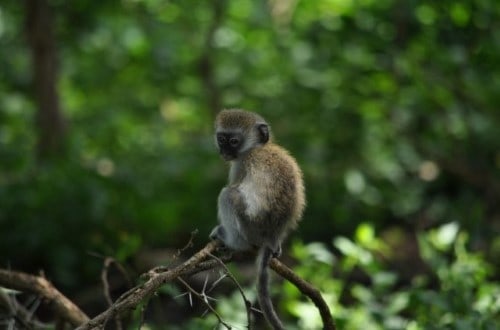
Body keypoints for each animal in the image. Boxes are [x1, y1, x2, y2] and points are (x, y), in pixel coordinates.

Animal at [210, 109, 304, 330]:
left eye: (234, 141)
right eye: (221, 138)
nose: (224, 151)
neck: (256, 148)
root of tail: (271, 235)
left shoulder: (240, 166)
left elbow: (232, 189)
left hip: (250, 227)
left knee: (228, 195)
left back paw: (232, 241)